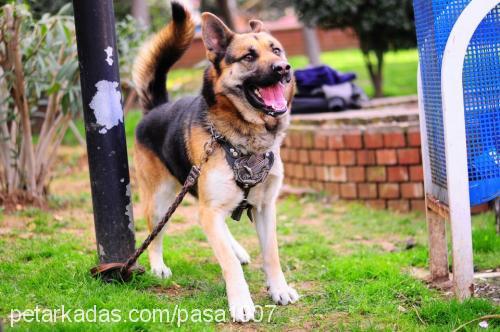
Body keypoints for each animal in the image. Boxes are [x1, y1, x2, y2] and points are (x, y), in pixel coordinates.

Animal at [132, 1, 296, 320]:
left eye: (277, 50)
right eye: (248, 56)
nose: (283, 68)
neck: (246, 136)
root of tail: (156, 108)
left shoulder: (265, 207)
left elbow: (271, 253)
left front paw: (279, 289)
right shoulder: (210, 207)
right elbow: (228, 264)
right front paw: (241, 302)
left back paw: (236, 249)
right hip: (161, 201)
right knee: (155, 234)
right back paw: (158, 266)